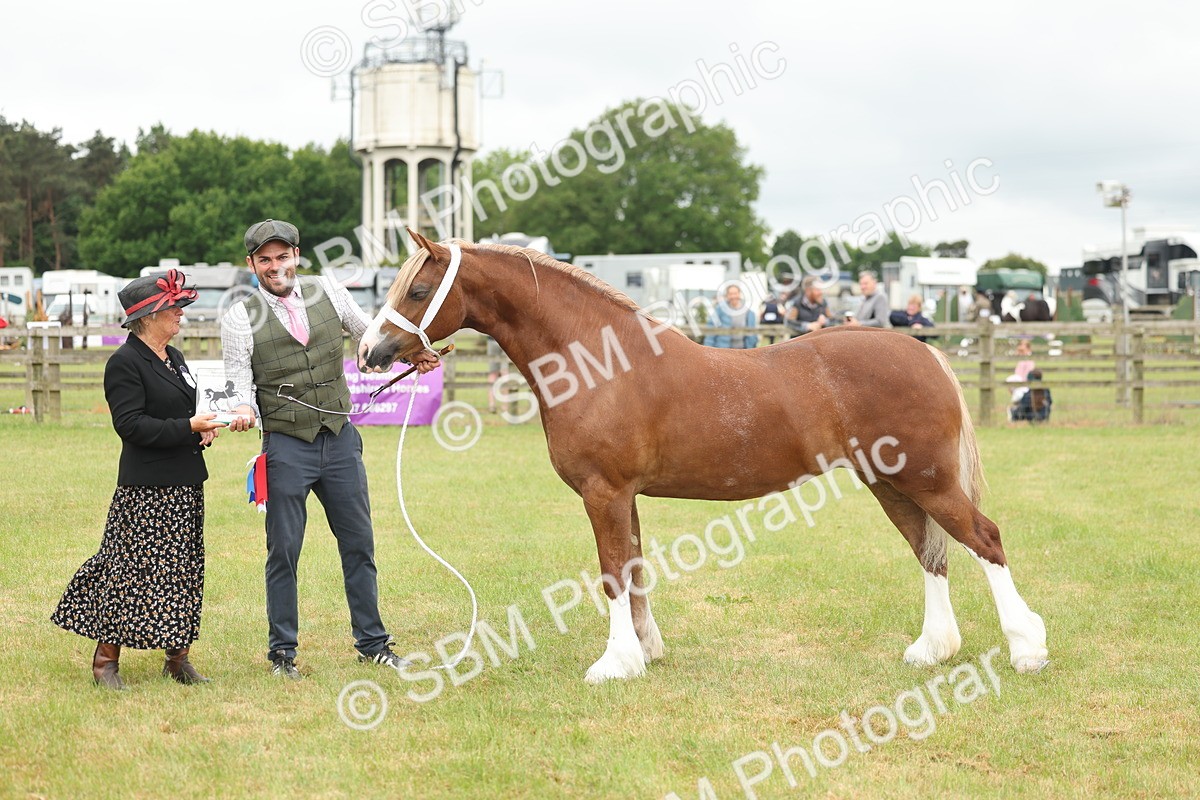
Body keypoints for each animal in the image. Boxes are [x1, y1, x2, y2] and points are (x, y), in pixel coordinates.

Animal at [360, 229, 1049, 684]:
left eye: (419, 289)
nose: (369, 351)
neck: (599, 362)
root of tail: (925, 351)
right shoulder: (624, 496)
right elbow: (635, 568)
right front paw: (645, 652)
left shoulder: (604, 492)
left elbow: (612, 572)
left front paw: (614, 664)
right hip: (892, 484)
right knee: (931, 553)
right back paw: (932, 650)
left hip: (926, 480)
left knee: (984, 539)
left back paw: (1025, 649)